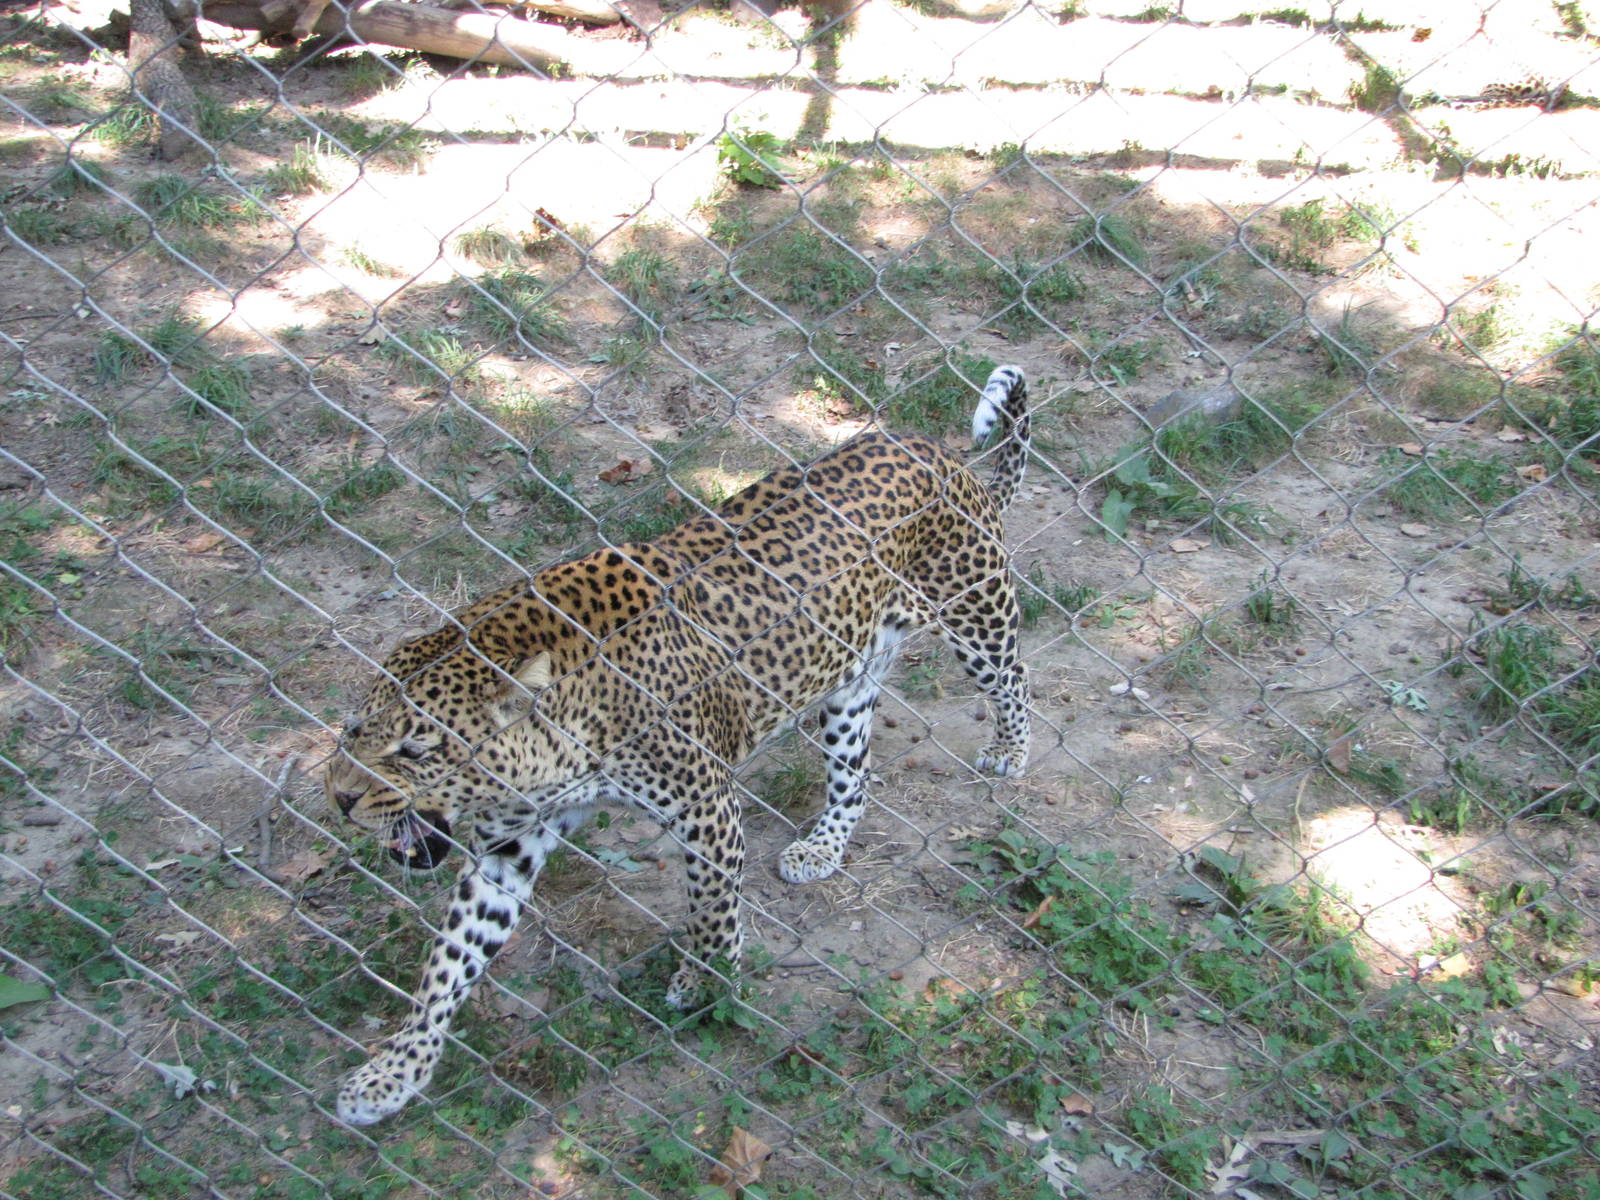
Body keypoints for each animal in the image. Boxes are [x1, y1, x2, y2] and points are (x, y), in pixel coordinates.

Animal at [325, 364, 1032, 1125]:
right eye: (354, 730)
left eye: (418, 750)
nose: (338, 800)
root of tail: (937, 453)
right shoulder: (508, 848)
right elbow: (446, 966)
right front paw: (394, 1072)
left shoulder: (705, 807)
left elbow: (711, 908)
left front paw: (708, 986)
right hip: (849, 677)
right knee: (854, 771)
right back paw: (822, 846)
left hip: (976, 610)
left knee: (1014, 679)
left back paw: (1011, 750)